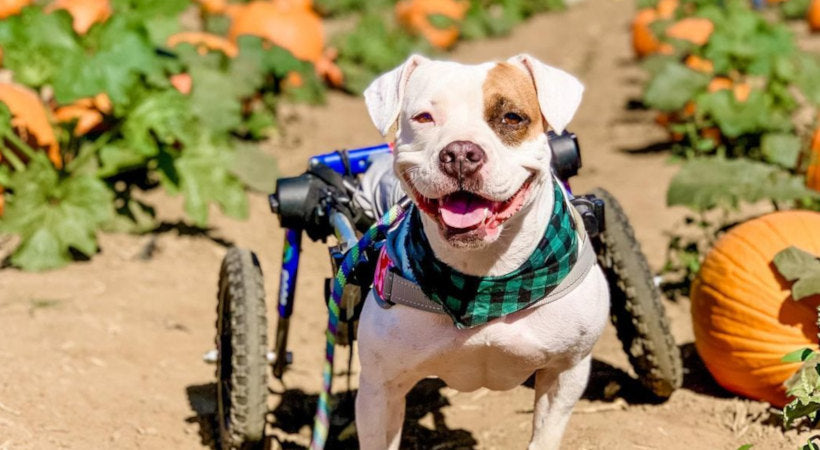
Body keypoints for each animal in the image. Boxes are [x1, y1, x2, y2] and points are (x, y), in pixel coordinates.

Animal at [358, 55, 608, 450]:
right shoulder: (379, 387)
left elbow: (545, 435)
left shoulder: (566, 371)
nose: (460, 153)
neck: (486, 278)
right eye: (424, 117)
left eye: (512, 117)